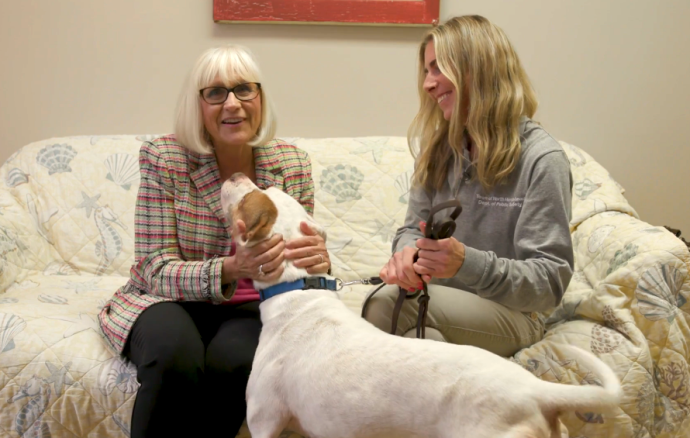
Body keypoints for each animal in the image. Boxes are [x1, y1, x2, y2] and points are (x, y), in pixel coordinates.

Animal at [219, 173, 620, 436]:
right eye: (267, 189)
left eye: (252, 194)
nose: (236, 173)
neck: (299, 290)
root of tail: (536, 390)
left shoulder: (264, 421)